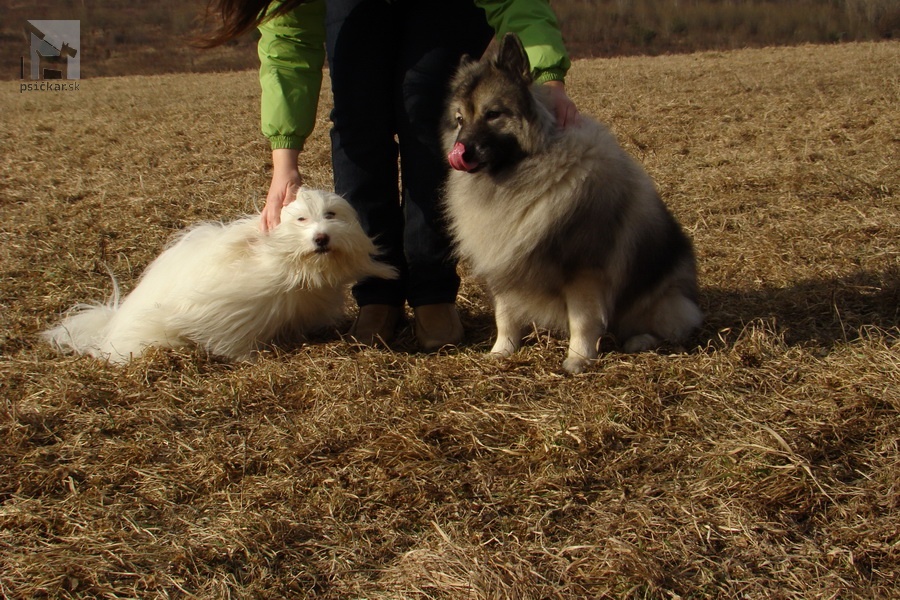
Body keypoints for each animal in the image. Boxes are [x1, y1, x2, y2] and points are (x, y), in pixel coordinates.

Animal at [42, 188, 394, 364]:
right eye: (301, 219)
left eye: (331, 215)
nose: (322, 238)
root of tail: (111, 323)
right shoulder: (228, 310)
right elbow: (230, 340)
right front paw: (248, 359)